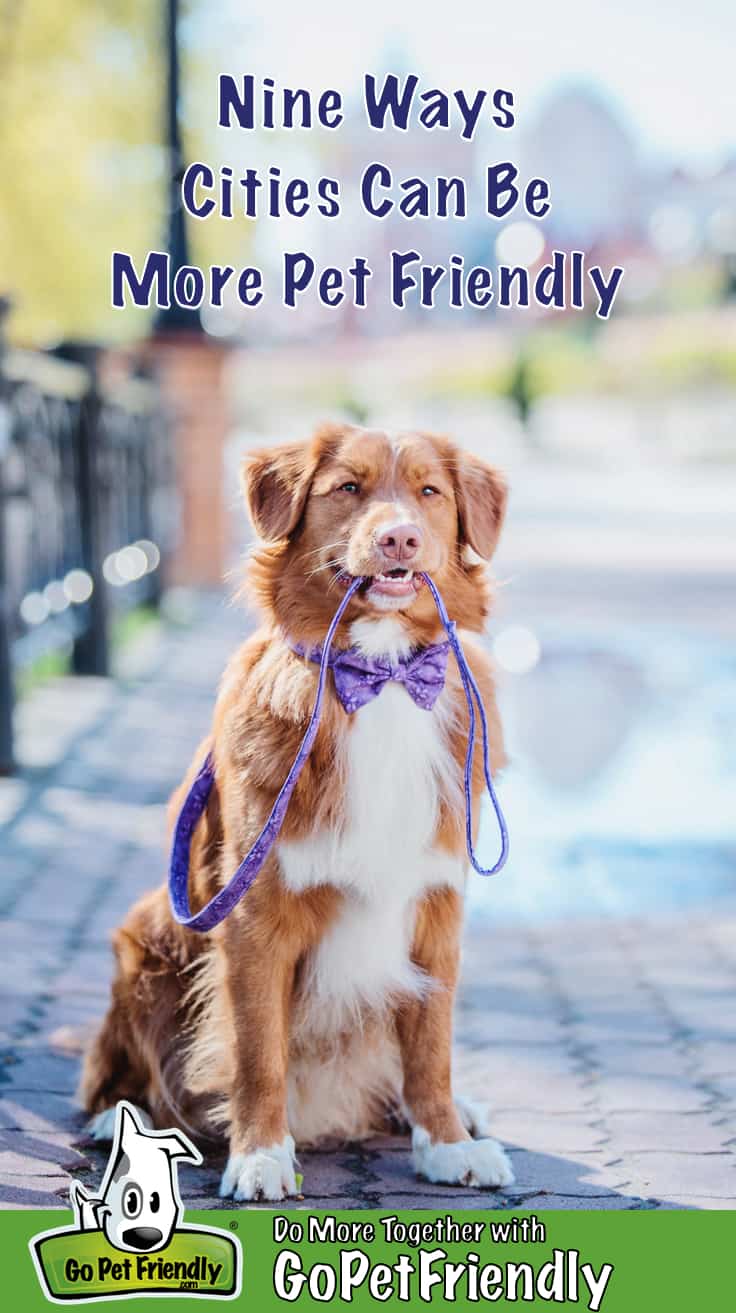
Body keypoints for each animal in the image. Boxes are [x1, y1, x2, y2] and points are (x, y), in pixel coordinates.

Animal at [80, 428, 514, 1202]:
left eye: (429, 492)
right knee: (120, 1070)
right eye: (348, 488)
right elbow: (258, 1050)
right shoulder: (256, 916)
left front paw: (446, 1142)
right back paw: (118, 1117)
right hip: (145, 937)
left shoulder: (438, 907)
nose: (399, 537)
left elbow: (431, 1043)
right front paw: (260, 1156)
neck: (382, 678)